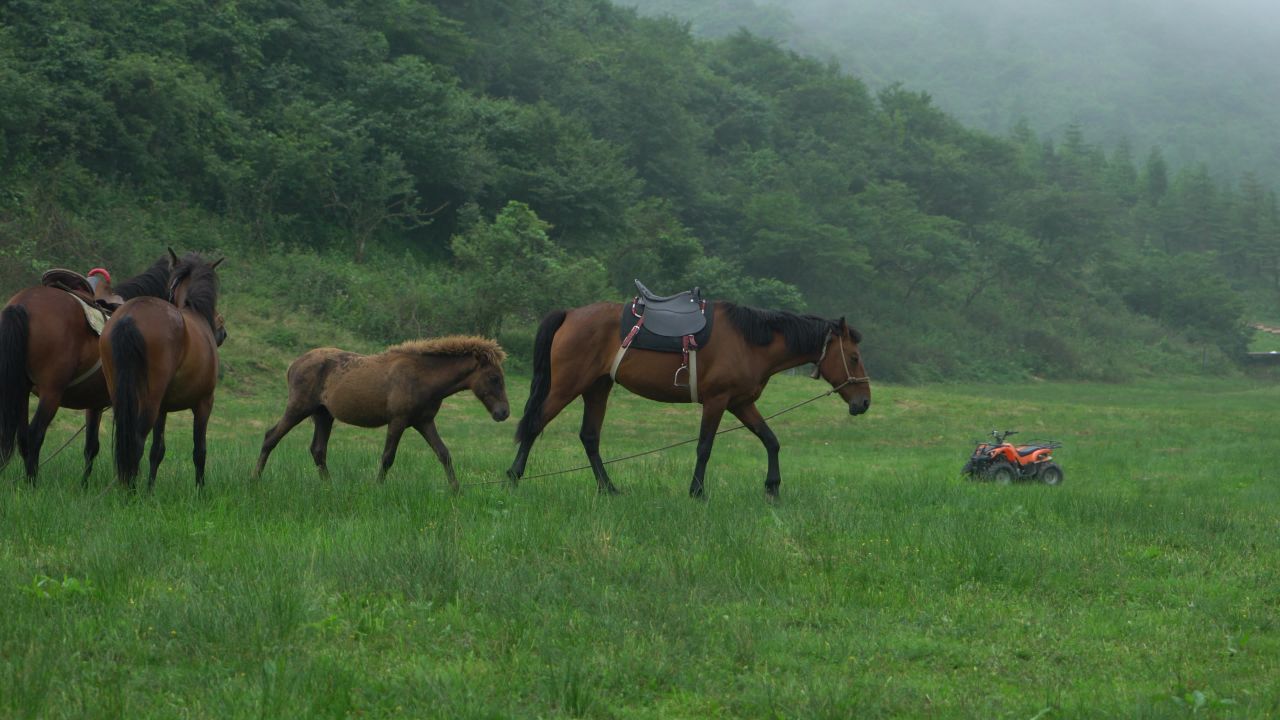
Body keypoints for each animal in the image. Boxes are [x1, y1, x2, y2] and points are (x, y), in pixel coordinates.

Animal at [0, 256, 172, 483]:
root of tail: (22, 304)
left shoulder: (94, 403)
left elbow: (91, 446)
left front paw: (84, 485)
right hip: (50, 392)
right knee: (34, 434)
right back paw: (32, 483)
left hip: (21, 389)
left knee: (22, 439)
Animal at [100, 251, 227, 488]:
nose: (222, 332)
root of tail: (130, 316)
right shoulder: (204, 403)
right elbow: (200, 451)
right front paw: (200, 489)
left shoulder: (163, 409)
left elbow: (157, 451)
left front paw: (150, 489)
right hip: (150, 400)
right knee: (136, 441)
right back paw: (130, 490)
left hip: (121, 393)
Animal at [253, 337, 511, 491]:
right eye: (494, 378)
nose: (504, 413)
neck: (422, 377)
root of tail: (293, 365)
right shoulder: (398, 421)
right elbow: (387, 457)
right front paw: (378, 487)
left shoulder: (424, 422)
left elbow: (444, 453)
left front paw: (456, 489)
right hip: (298, 409)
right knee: (270, 437)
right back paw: (255, 479)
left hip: (323, 415)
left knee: (318, 450)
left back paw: (329, 486)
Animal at [506, 301, 871, 499]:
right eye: (853, 358)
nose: (864, 402)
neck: (750, 342)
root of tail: (570, 314)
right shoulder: (717, 401)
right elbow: (704, 447)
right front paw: (697, 491)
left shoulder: (741, 403)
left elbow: (771, 440)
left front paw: (772, 487)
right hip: (567, 386)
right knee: (534, 424)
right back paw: (513, 477)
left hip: (597, 388)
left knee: (590, 437)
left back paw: (608, 488)